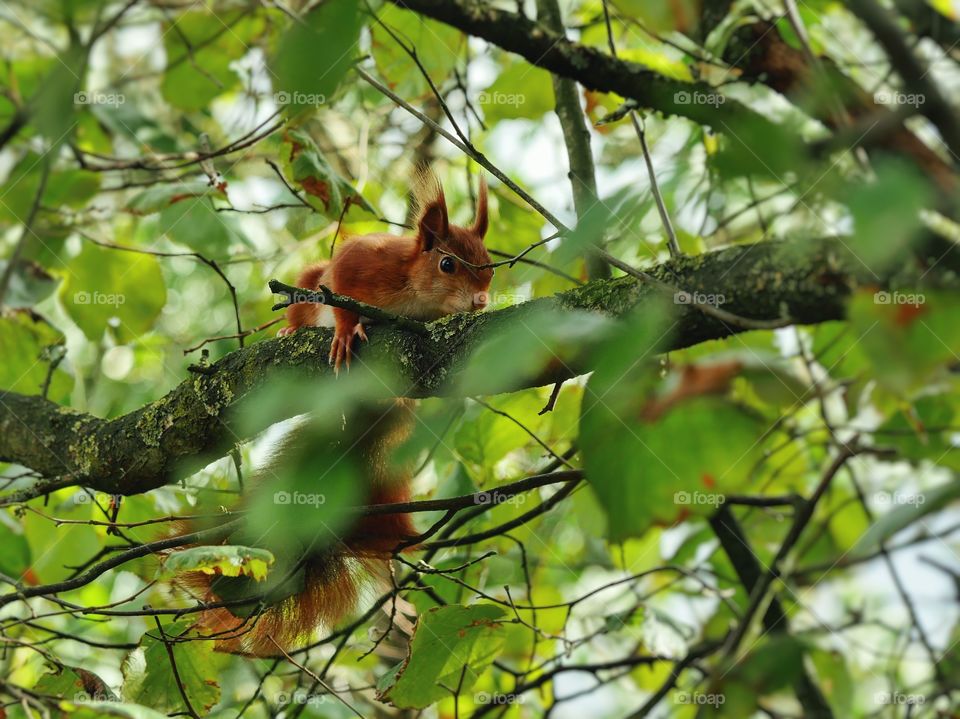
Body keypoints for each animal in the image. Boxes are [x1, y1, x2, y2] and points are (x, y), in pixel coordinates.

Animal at [180, 172, 496, 656]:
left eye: (491, 264)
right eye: (447, 265)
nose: (481, 301)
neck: (415, 291)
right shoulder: (365, 264)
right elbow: (344, 286)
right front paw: (347, 331)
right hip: (307, 285)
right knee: (306, 294)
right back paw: (292, 329)